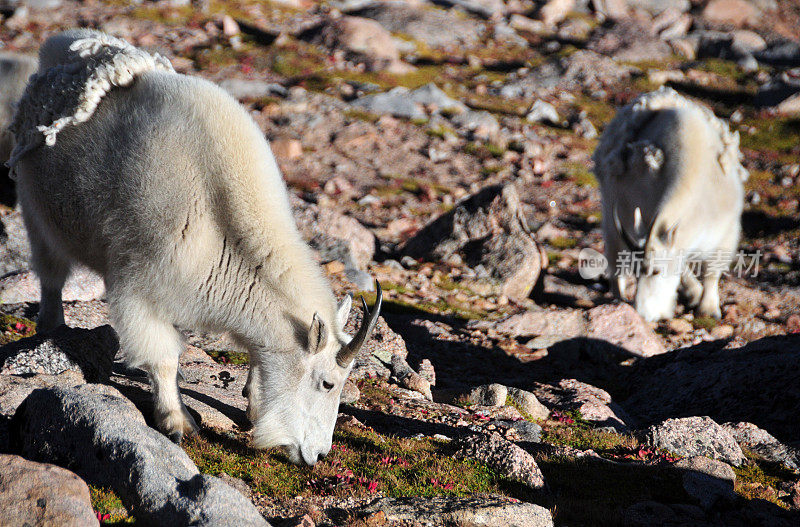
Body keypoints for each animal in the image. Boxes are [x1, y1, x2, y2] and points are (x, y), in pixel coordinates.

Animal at [6, 29, 382, 466]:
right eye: (327, 383)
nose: (317, 455)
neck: (223, 228)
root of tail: (58, 47)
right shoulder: (140, 287)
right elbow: (163, 357)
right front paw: (177, 422)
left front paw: (251, 404)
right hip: (36, 213)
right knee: (50, 276)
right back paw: (53, 327)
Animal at [592, 87, 748, 322]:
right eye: (637, 272)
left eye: (655, 270)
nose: (643, 314)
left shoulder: (725, 233)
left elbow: (711, 273)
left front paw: (709, 309)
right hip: (611, 210)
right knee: (614, 256)